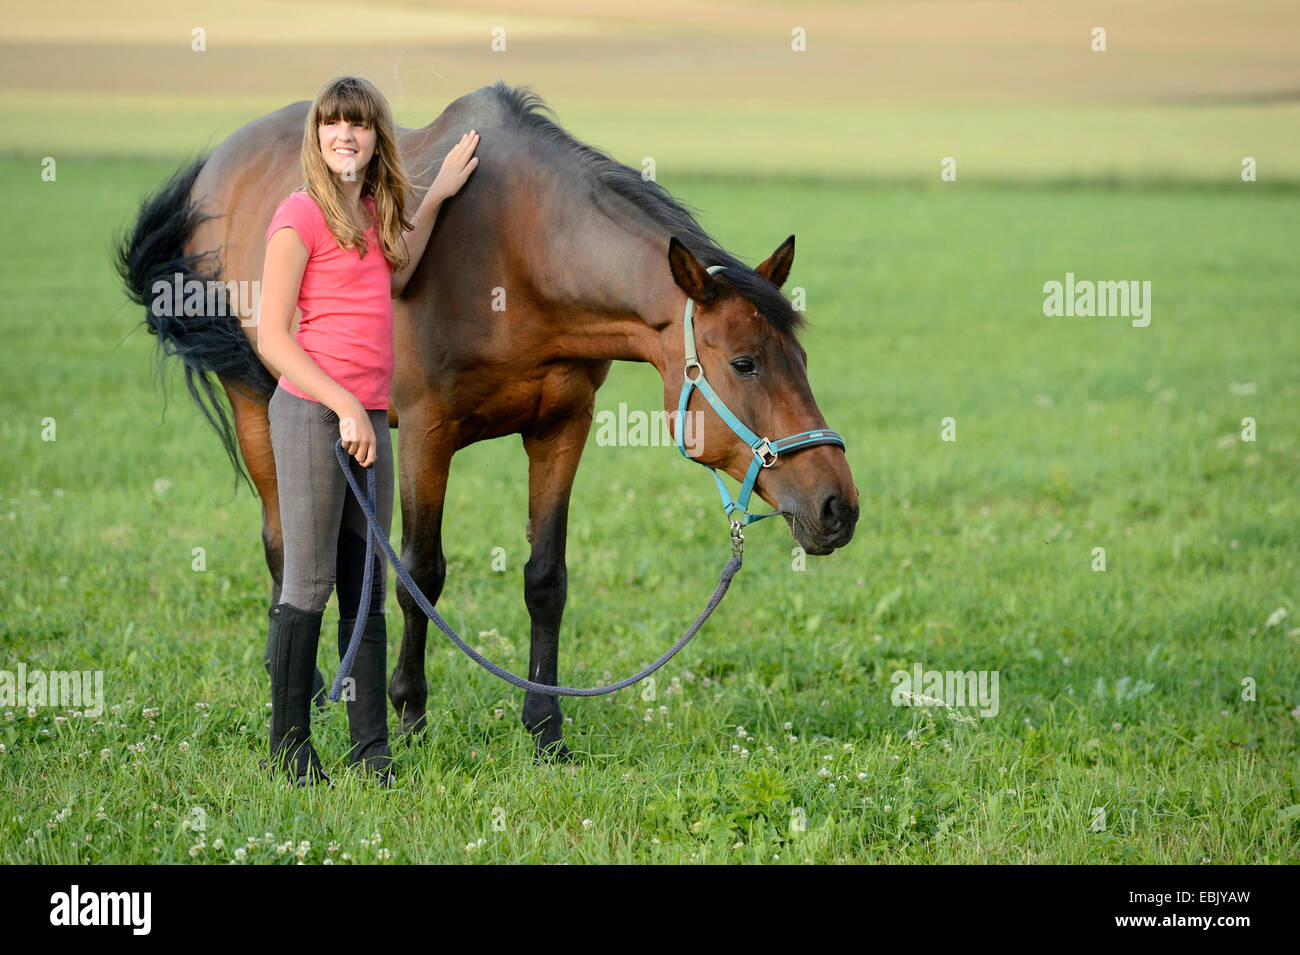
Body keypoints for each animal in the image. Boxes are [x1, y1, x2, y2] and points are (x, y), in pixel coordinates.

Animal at [116, 80, 859, 761]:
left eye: (800, 356)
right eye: (744, 362)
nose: (838, 506)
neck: (516, 250)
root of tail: (219, 167)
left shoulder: (562, 426)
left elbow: (545, 578)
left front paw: (545, 729)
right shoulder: (424, 435)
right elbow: (421, 574)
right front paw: (410, 716)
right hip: (254, 399)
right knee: (285, 546)